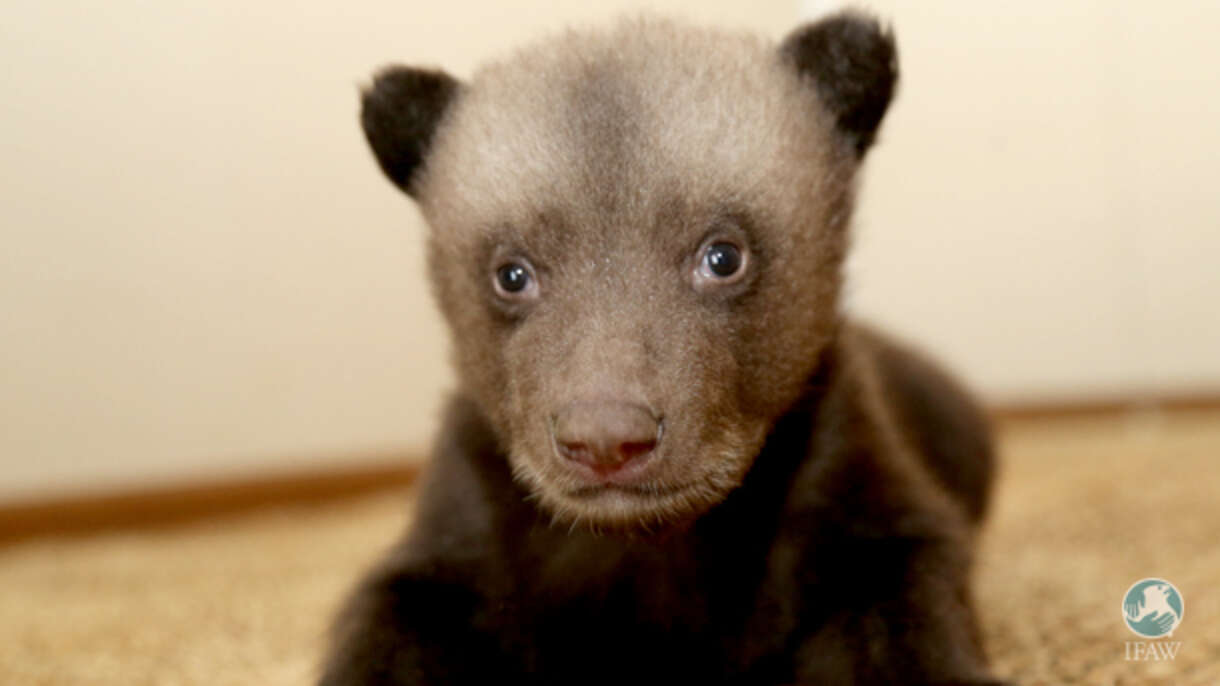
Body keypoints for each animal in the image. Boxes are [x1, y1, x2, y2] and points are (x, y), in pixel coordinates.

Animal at [321, 10, 1002, 686]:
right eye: (511, 274)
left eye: (723, 255)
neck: (652, 545)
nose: (605, 441)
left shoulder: (849, 495)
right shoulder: (464, 531)